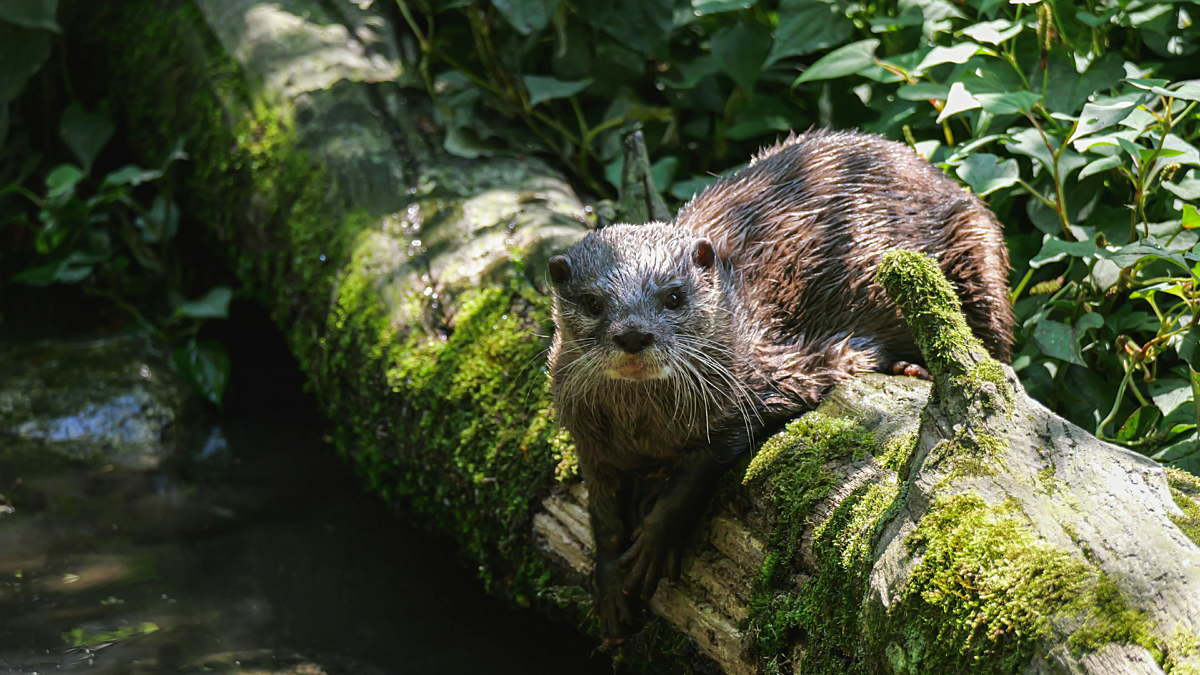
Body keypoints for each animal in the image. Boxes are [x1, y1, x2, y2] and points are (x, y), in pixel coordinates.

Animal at [547, 129, 1013, 642]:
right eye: (592, 302)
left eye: (673, 296)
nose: (633, 335)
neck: (645, 431)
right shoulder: (588, 439)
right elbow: (602, 514)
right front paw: (609, 585)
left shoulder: (763, 379)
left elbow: (702, 467)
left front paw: (655, 536)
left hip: (979, 253)